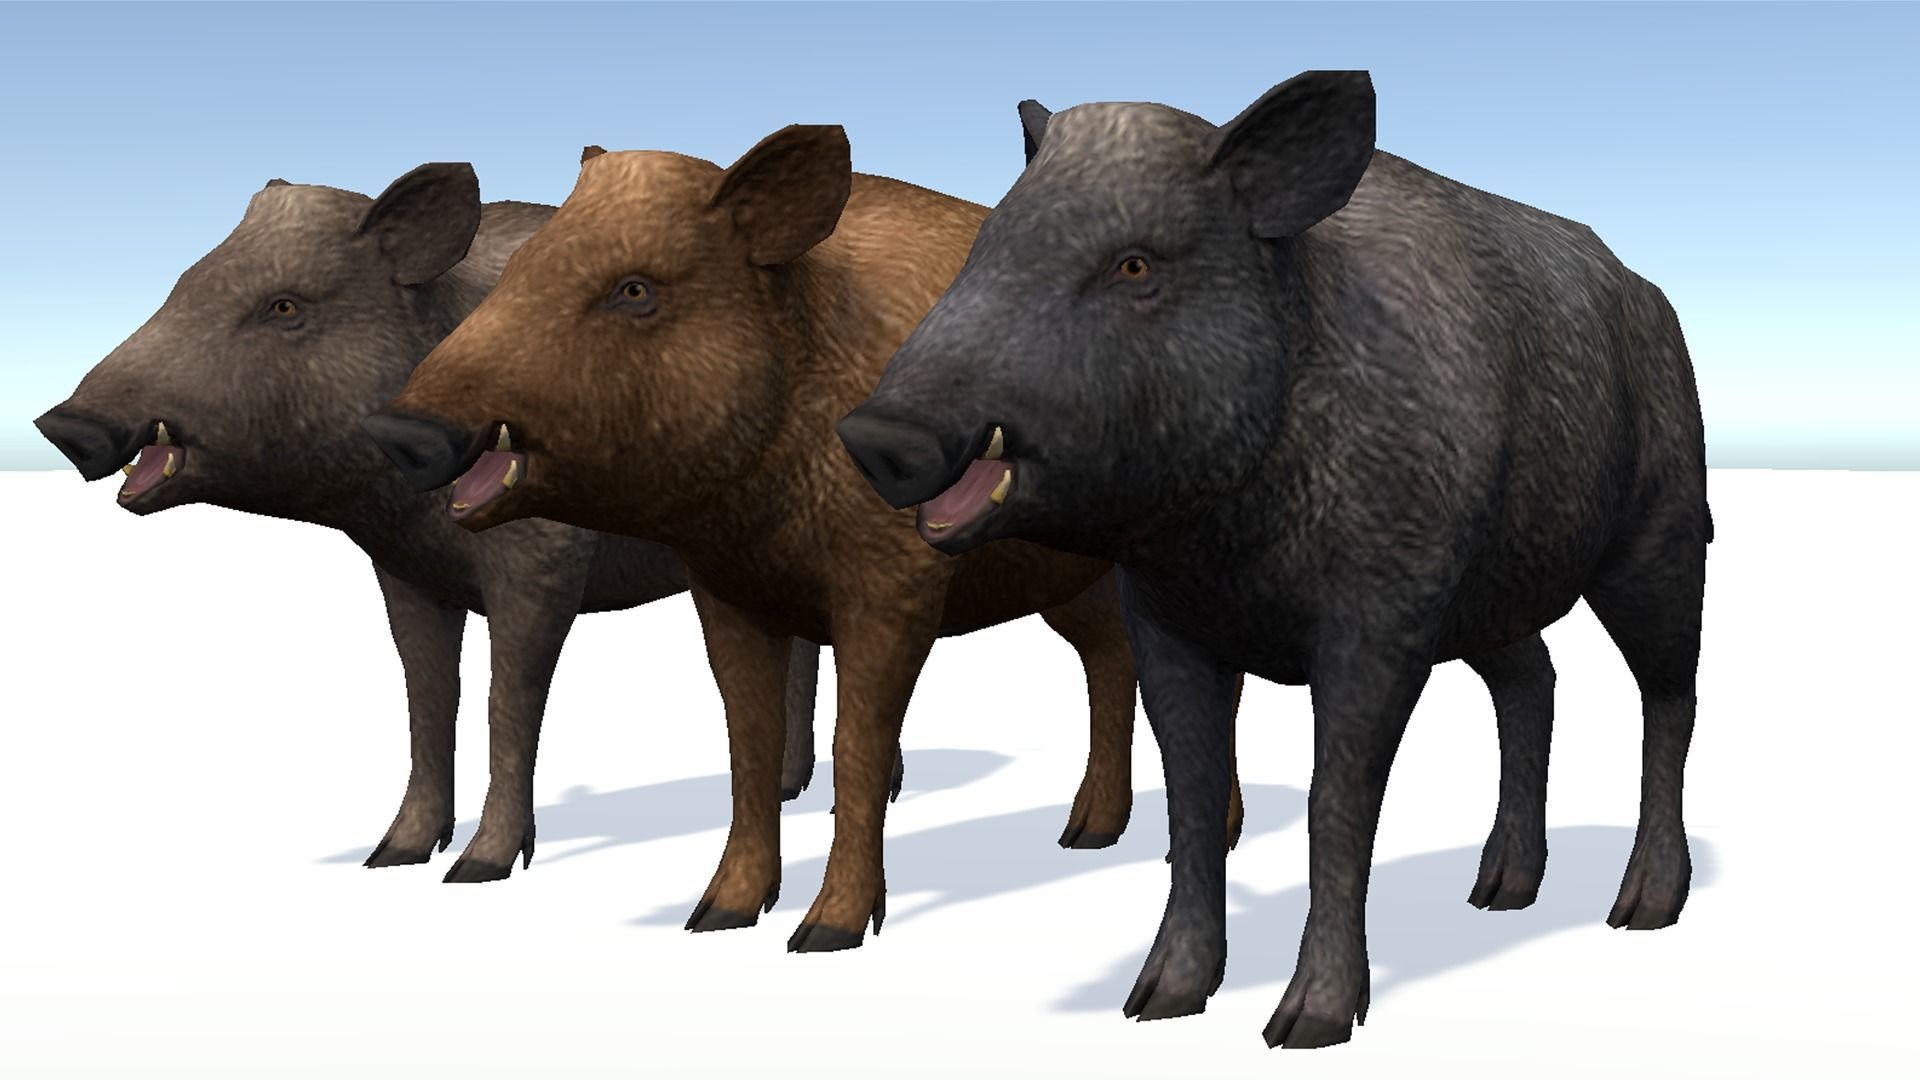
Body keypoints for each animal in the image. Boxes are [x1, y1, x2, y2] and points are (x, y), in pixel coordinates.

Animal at [32, 163, 835, 883]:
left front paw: (480, 867)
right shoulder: (405, 574)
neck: (394, 505)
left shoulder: (543, 566)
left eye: (284, 307)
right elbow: (427, 700)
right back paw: (790, 786)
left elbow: (506, 703)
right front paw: (393, 854)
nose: (63, 424)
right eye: (185, 282)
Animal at [360, 128, 1252, 949]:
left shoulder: (893, 586)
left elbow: (856, 746)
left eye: (634, 288)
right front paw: (716, 915)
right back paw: (1087, 832)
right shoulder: (727, 593)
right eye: (520, 269)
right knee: (1109, 659)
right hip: (1071, 586)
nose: (403, 431)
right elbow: (748, 748)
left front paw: (828, 931)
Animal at [841, 71, 1710, 1047]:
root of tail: (1651, 296)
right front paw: (1157, 1001)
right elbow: (1191, 795)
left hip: (1662, 537)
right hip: (1491, 598)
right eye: (989, 244)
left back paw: (1642, 908)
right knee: (1535, 679)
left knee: (1669, 698)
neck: (1232, 536)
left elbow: (1337, 806)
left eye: (1135, 265)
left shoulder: (1379, 622)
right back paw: (1499, 893)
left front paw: (1306, 1024)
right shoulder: (1169, 624)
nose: (875, 437)